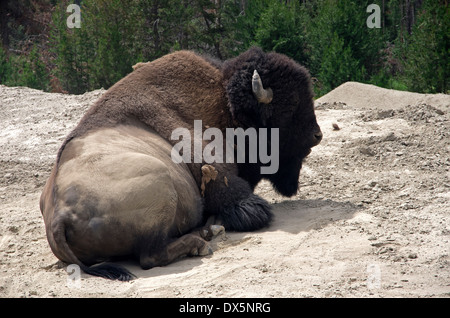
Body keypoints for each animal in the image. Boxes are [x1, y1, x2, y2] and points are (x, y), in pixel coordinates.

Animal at [38, 47, 320, 280]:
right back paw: (201, 242)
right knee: (150, 255)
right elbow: (245, 205)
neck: (224, 103)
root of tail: (59, 217)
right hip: (160, 180)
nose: (317, 135)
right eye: (290, 108)